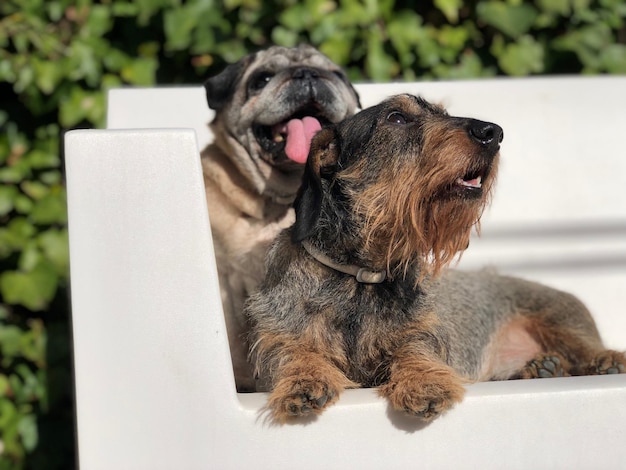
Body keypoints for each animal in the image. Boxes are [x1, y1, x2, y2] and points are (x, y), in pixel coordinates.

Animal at [245, 92, 624, 422]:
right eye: (397, 117)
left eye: (443, 113)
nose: (493, 132)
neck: (361, 276)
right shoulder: (277, 336)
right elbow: (291, 351)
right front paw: (305, 377)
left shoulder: (422, 332)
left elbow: (417, 349)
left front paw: (423, 381)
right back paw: (540, 369)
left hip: (561, 319)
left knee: (584, 346)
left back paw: (601, 360)